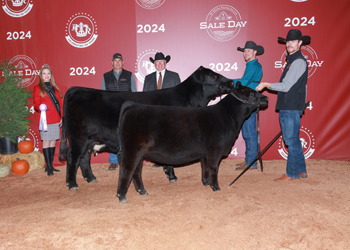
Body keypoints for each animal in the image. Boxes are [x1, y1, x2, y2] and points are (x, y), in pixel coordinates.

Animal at [58, 66, 234, 189]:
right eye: (213, 75)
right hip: (78, 137)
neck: (188, 99)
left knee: (84, 159)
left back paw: (91, 178)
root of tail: (76, 89)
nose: (232, 82)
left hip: (89, 140)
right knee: (73, 157)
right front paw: (172, 175)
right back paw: (72, 184)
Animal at [115, 83, 268, 202]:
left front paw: (206, 183)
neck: (228, 117)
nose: (266, 97)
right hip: (131, 149)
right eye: (252, 93)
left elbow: (204, 167)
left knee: (136, 171)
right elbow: (213, 168)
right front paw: (216, 187)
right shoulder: (216, 149)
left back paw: (142, 191)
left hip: (139, 152)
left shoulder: (206, 152)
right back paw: (122, 196)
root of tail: (132, 105)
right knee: (127, 169)